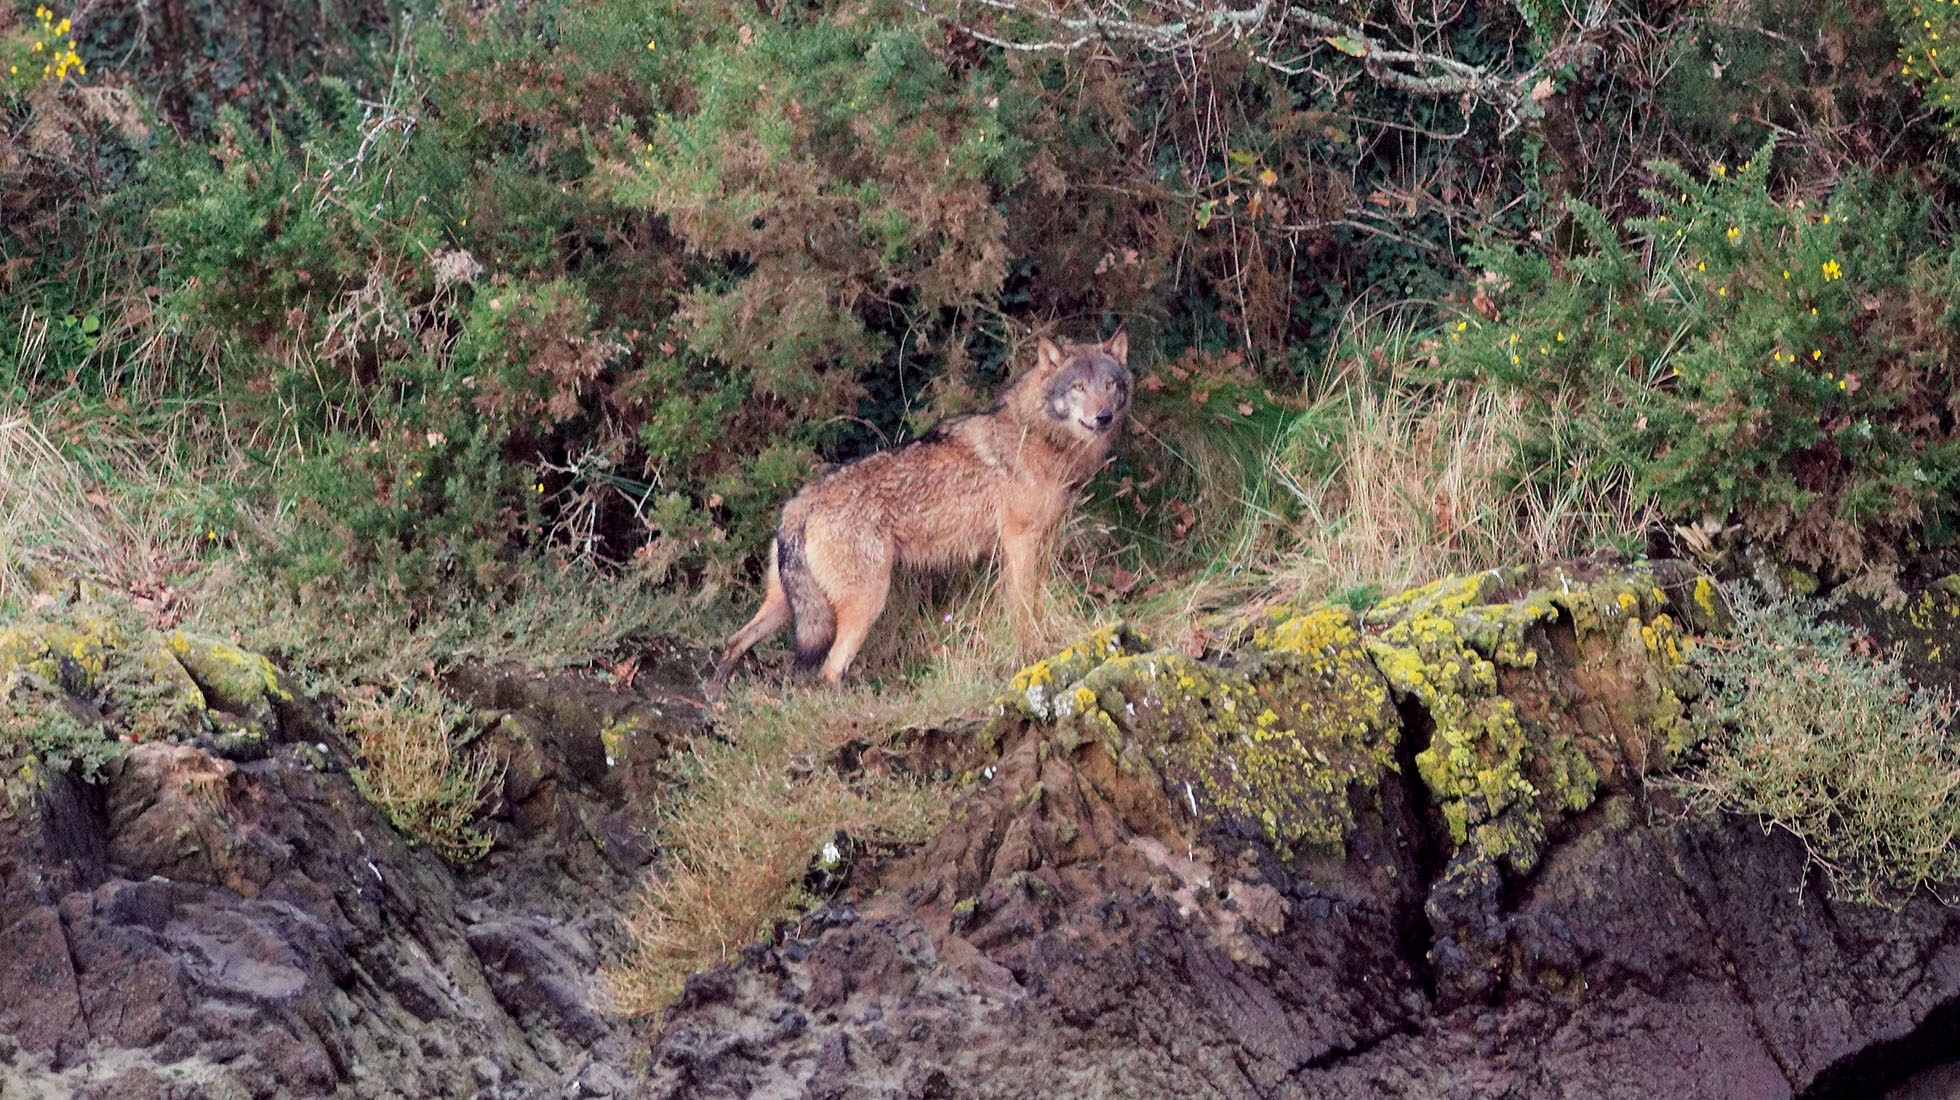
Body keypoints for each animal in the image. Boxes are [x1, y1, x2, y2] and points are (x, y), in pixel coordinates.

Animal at [705, 331, 1132, 696]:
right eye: (1078, 387)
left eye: (1109, 385)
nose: (1104, 417)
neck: (1041, 436)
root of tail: (800, 504)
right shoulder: (1019, 541)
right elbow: (1024, 607)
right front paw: (1031, 651)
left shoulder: (1038, 541)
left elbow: (1037, 600)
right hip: (865, 603)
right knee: (829, 669)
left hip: (786, 606)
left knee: (735, 641)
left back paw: (716, 699)